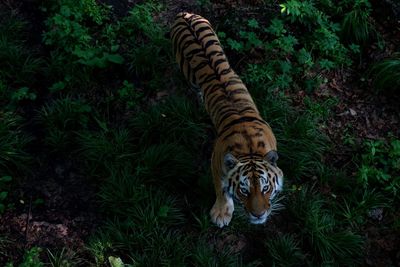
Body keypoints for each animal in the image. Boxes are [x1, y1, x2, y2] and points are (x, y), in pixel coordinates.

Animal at [170, 11, 282, 227]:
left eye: (266, 188)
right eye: (244, 190)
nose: (258, 215)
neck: (250, 149)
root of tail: (185, 14)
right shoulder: (215, 163)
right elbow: (221, 190)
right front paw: (221, 214)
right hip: (187, 72)